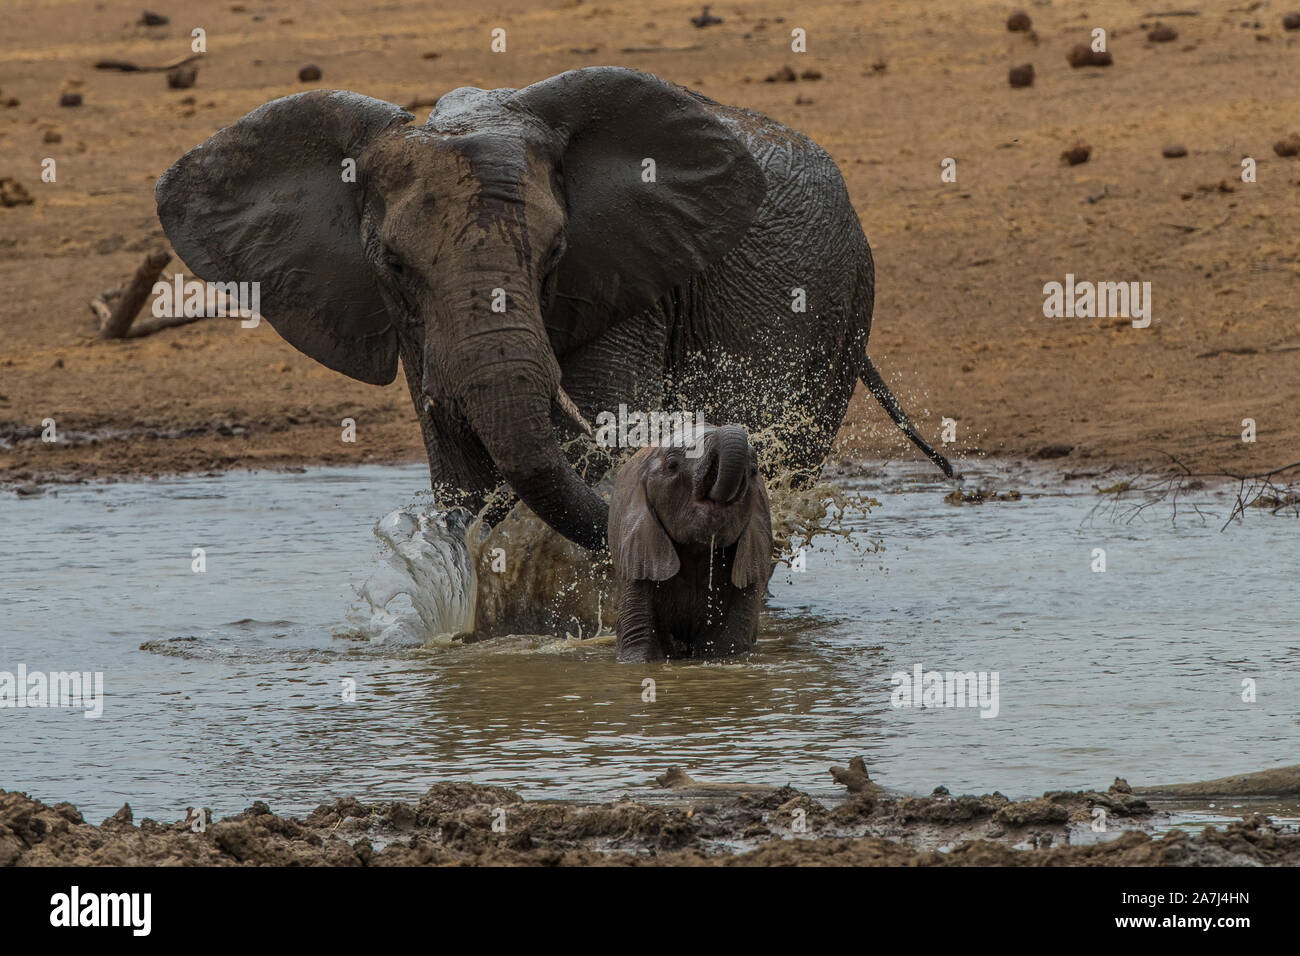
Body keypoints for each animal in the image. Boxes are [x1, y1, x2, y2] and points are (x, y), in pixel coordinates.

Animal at [157, 67, 951, 548]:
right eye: (393, 265)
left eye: (558, 251)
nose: (705, 449)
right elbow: (463, 474)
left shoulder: (628, 285)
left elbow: (594, 438)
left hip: (843, 307)